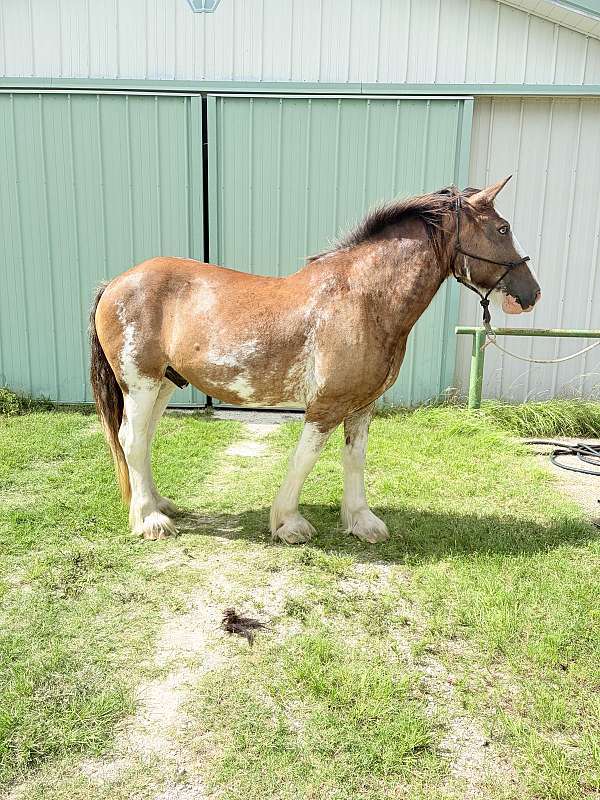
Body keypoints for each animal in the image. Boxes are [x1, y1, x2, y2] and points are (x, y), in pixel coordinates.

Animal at [90, 176, 541, 544]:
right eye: (503, 229)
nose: (531, 294)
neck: (363, 299)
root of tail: (115, 282)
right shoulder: (326, 405)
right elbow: (305, 458)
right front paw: (288, 522)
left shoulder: (362, 406)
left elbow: (355, 459)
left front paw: (361, 521)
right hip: (141, 383)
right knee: (132, 440)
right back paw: (149, 520)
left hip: (165, 383)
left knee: (143, 439)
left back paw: (160, 505)